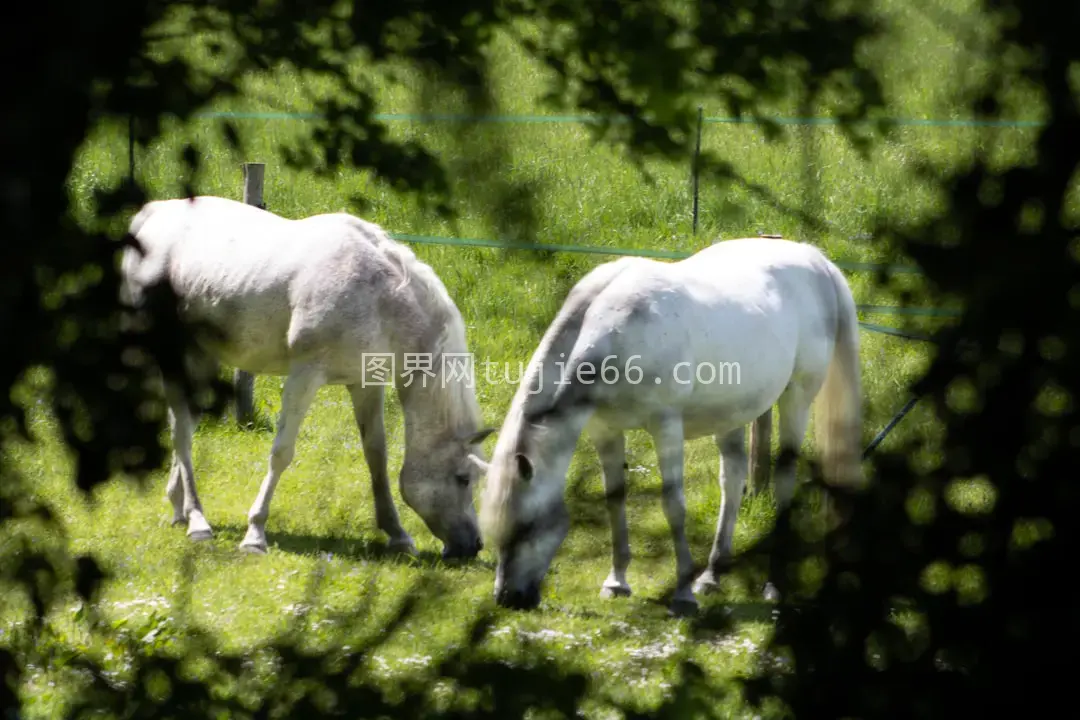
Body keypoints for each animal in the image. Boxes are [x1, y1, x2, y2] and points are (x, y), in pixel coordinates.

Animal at [119, 199, 494, 561]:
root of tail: (152, 215)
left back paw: (179, 507)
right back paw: (198, 521)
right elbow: (281, 453)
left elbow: (377, 456)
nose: (473, 546)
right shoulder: (305, 376)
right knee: (182, 432)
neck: (379, 297)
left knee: (182, 423)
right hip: (171, 352)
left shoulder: (366, 384)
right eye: (463, 479)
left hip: (200, 356)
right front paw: (255, 535)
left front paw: (398, 535)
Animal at [477, 235, 864, 613]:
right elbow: (614, 499)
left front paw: (682, 594)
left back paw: (773, 585)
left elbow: (673, 505)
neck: (616, 329)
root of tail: (814, 259)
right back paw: (711, 575)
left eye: (526, 528)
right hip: (734, 411)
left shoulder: (666, 427)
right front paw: (616, 582)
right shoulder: (605, 431)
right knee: (732, 478)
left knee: (783, 480)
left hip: (796, 398)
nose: (508, 598)